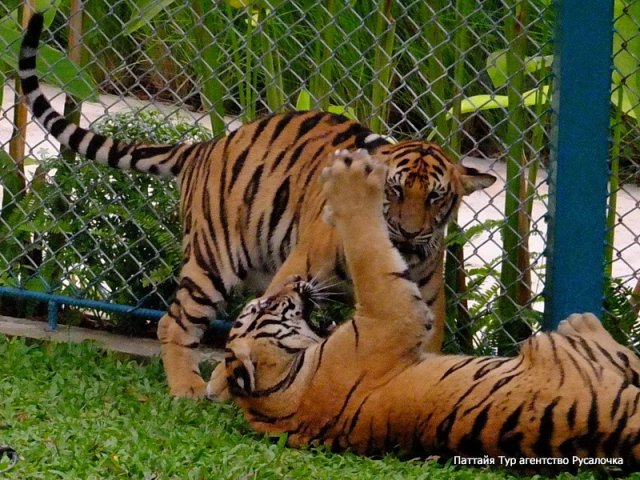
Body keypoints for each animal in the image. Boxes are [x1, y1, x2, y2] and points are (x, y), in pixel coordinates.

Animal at [19, 13, 495, 398]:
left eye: (435, 196)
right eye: (393, 192)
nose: (410, 234)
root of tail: (206, 145)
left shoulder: (427, 303)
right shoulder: (297, 269)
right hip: (212, 261)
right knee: (175, 321)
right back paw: (187, 387)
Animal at [211, 148, 640, 468]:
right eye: (263, 306)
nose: (296, 284)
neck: (282, 392)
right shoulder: (392, 309)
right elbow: (367, 248)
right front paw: (351, 182)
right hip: (569, 353)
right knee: (615, 350)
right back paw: (580, 321)